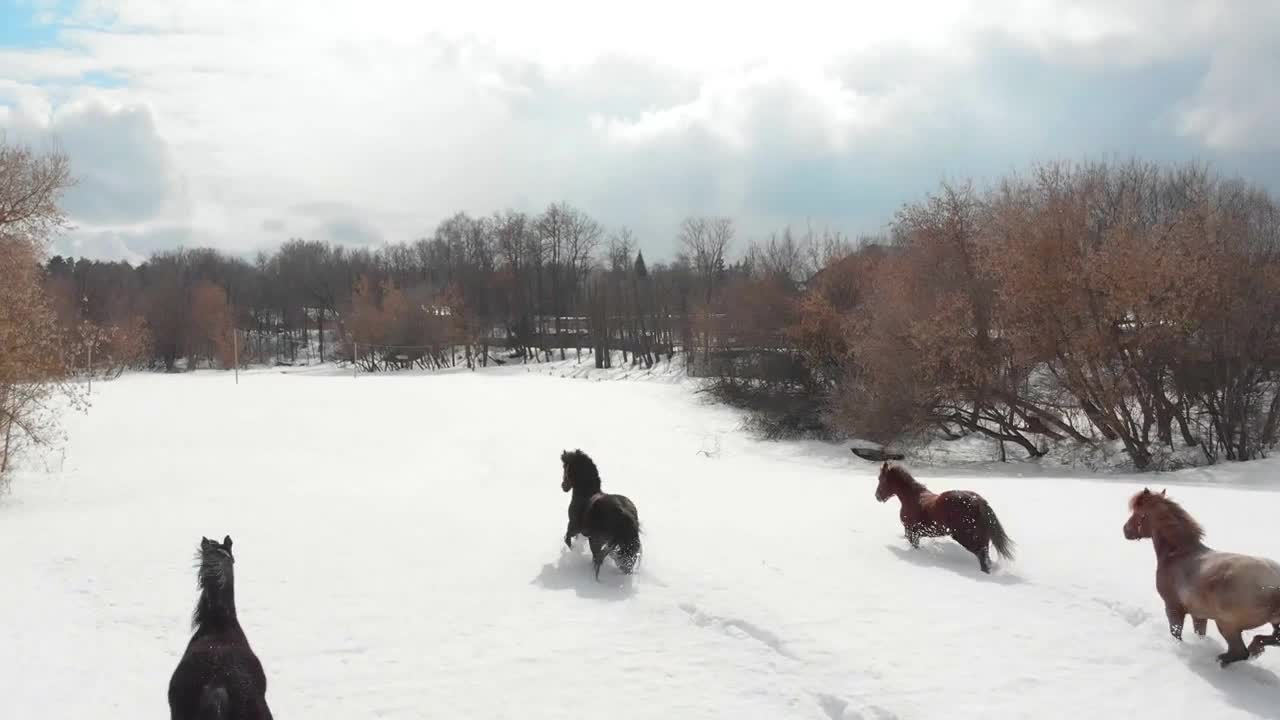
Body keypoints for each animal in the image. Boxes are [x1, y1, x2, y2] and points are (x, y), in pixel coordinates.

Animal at [560, 445, 640, 579]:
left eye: (566, 468)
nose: (563, 486)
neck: (585, 494)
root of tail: (624, 512)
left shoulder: (573, 527)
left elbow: (567, 540)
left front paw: (574, 552)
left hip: (598, 539)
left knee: (598, 557)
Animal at [875, 461, 1013, 573]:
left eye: (881, 479)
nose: (877, 496)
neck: (913, 498)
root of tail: (978, 501)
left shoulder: (912, 533)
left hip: (967, 539)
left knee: (982, 558)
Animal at [1121, 484, 1280, 666]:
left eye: (1138, 513)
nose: (1125, 530)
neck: (1178, 554)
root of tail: (1273, 584)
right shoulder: (1199, 615)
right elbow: (1200, 633)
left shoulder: (1173, 607)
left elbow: (1176, 633)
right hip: (1273, 623)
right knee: (1270, 640)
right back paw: (1254, 648)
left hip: (1227, 625)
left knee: (1240, 652)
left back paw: (1223, 659)